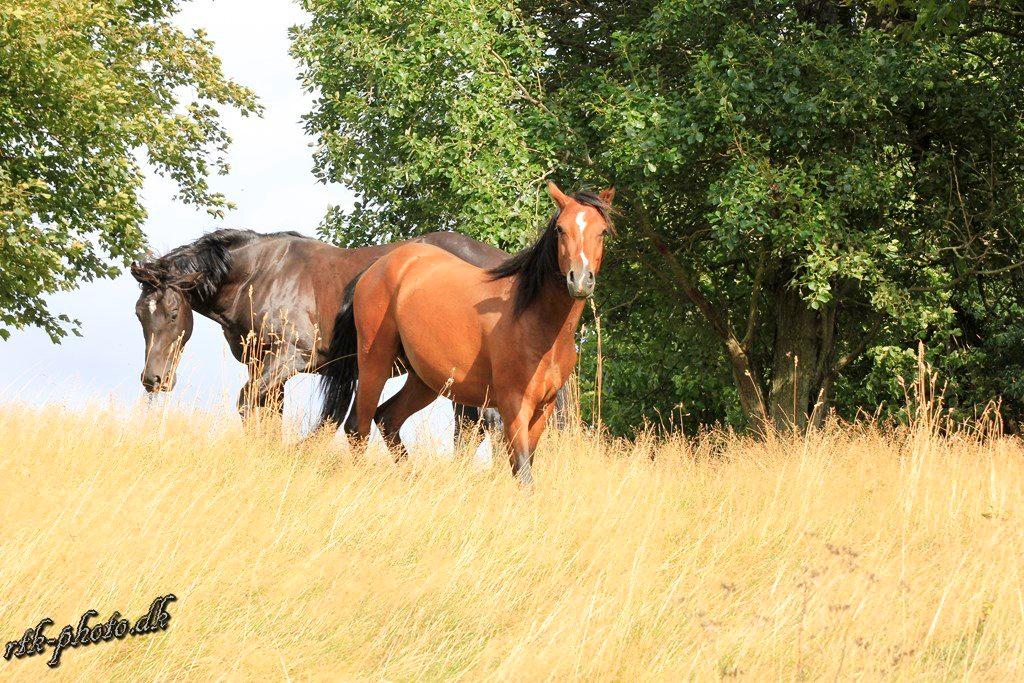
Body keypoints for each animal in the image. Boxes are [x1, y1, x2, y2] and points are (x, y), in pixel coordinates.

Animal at [130, 229, 510, 440]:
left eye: (173, 313)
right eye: (139, 314)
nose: (153, 379)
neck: (259, 275)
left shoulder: (289, 358)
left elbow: (247, 404)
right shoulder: (263, 366)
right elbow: (269, 413)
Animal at [320, 182, 614, 484]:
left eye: (602, 231)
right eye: (560, 229)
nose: (580, 280)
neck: (535, 323)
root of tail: (376, 268)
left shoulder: (544, 406)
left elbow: (525, 464)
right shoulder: (513, 404)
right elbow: (522, 470)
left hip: (423, 379)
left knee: (386, 419)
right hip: (375, 364)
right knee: (358, 426)